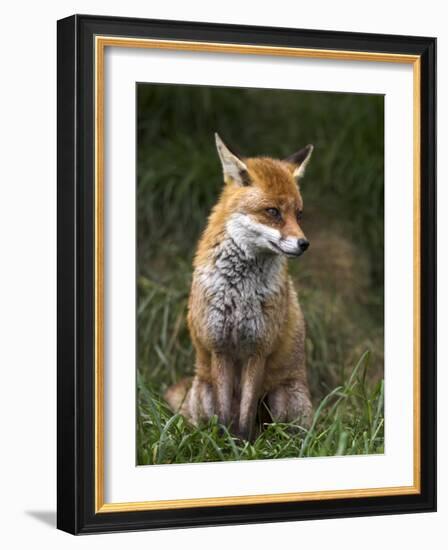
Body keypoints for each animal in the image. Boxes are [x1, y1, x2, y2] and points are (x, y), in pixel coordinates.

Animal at [163, 135, 314, 444]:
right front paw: (225, 446)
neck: (239, 291)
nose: (304, 244)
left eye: (299, 214)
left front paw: (244, 446)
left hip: (282, 397)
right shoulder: (220, 347)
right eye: (273, 212)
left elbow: (244, 417)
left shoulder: (258, 348)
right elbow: (225, 415)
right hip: (204, 391)